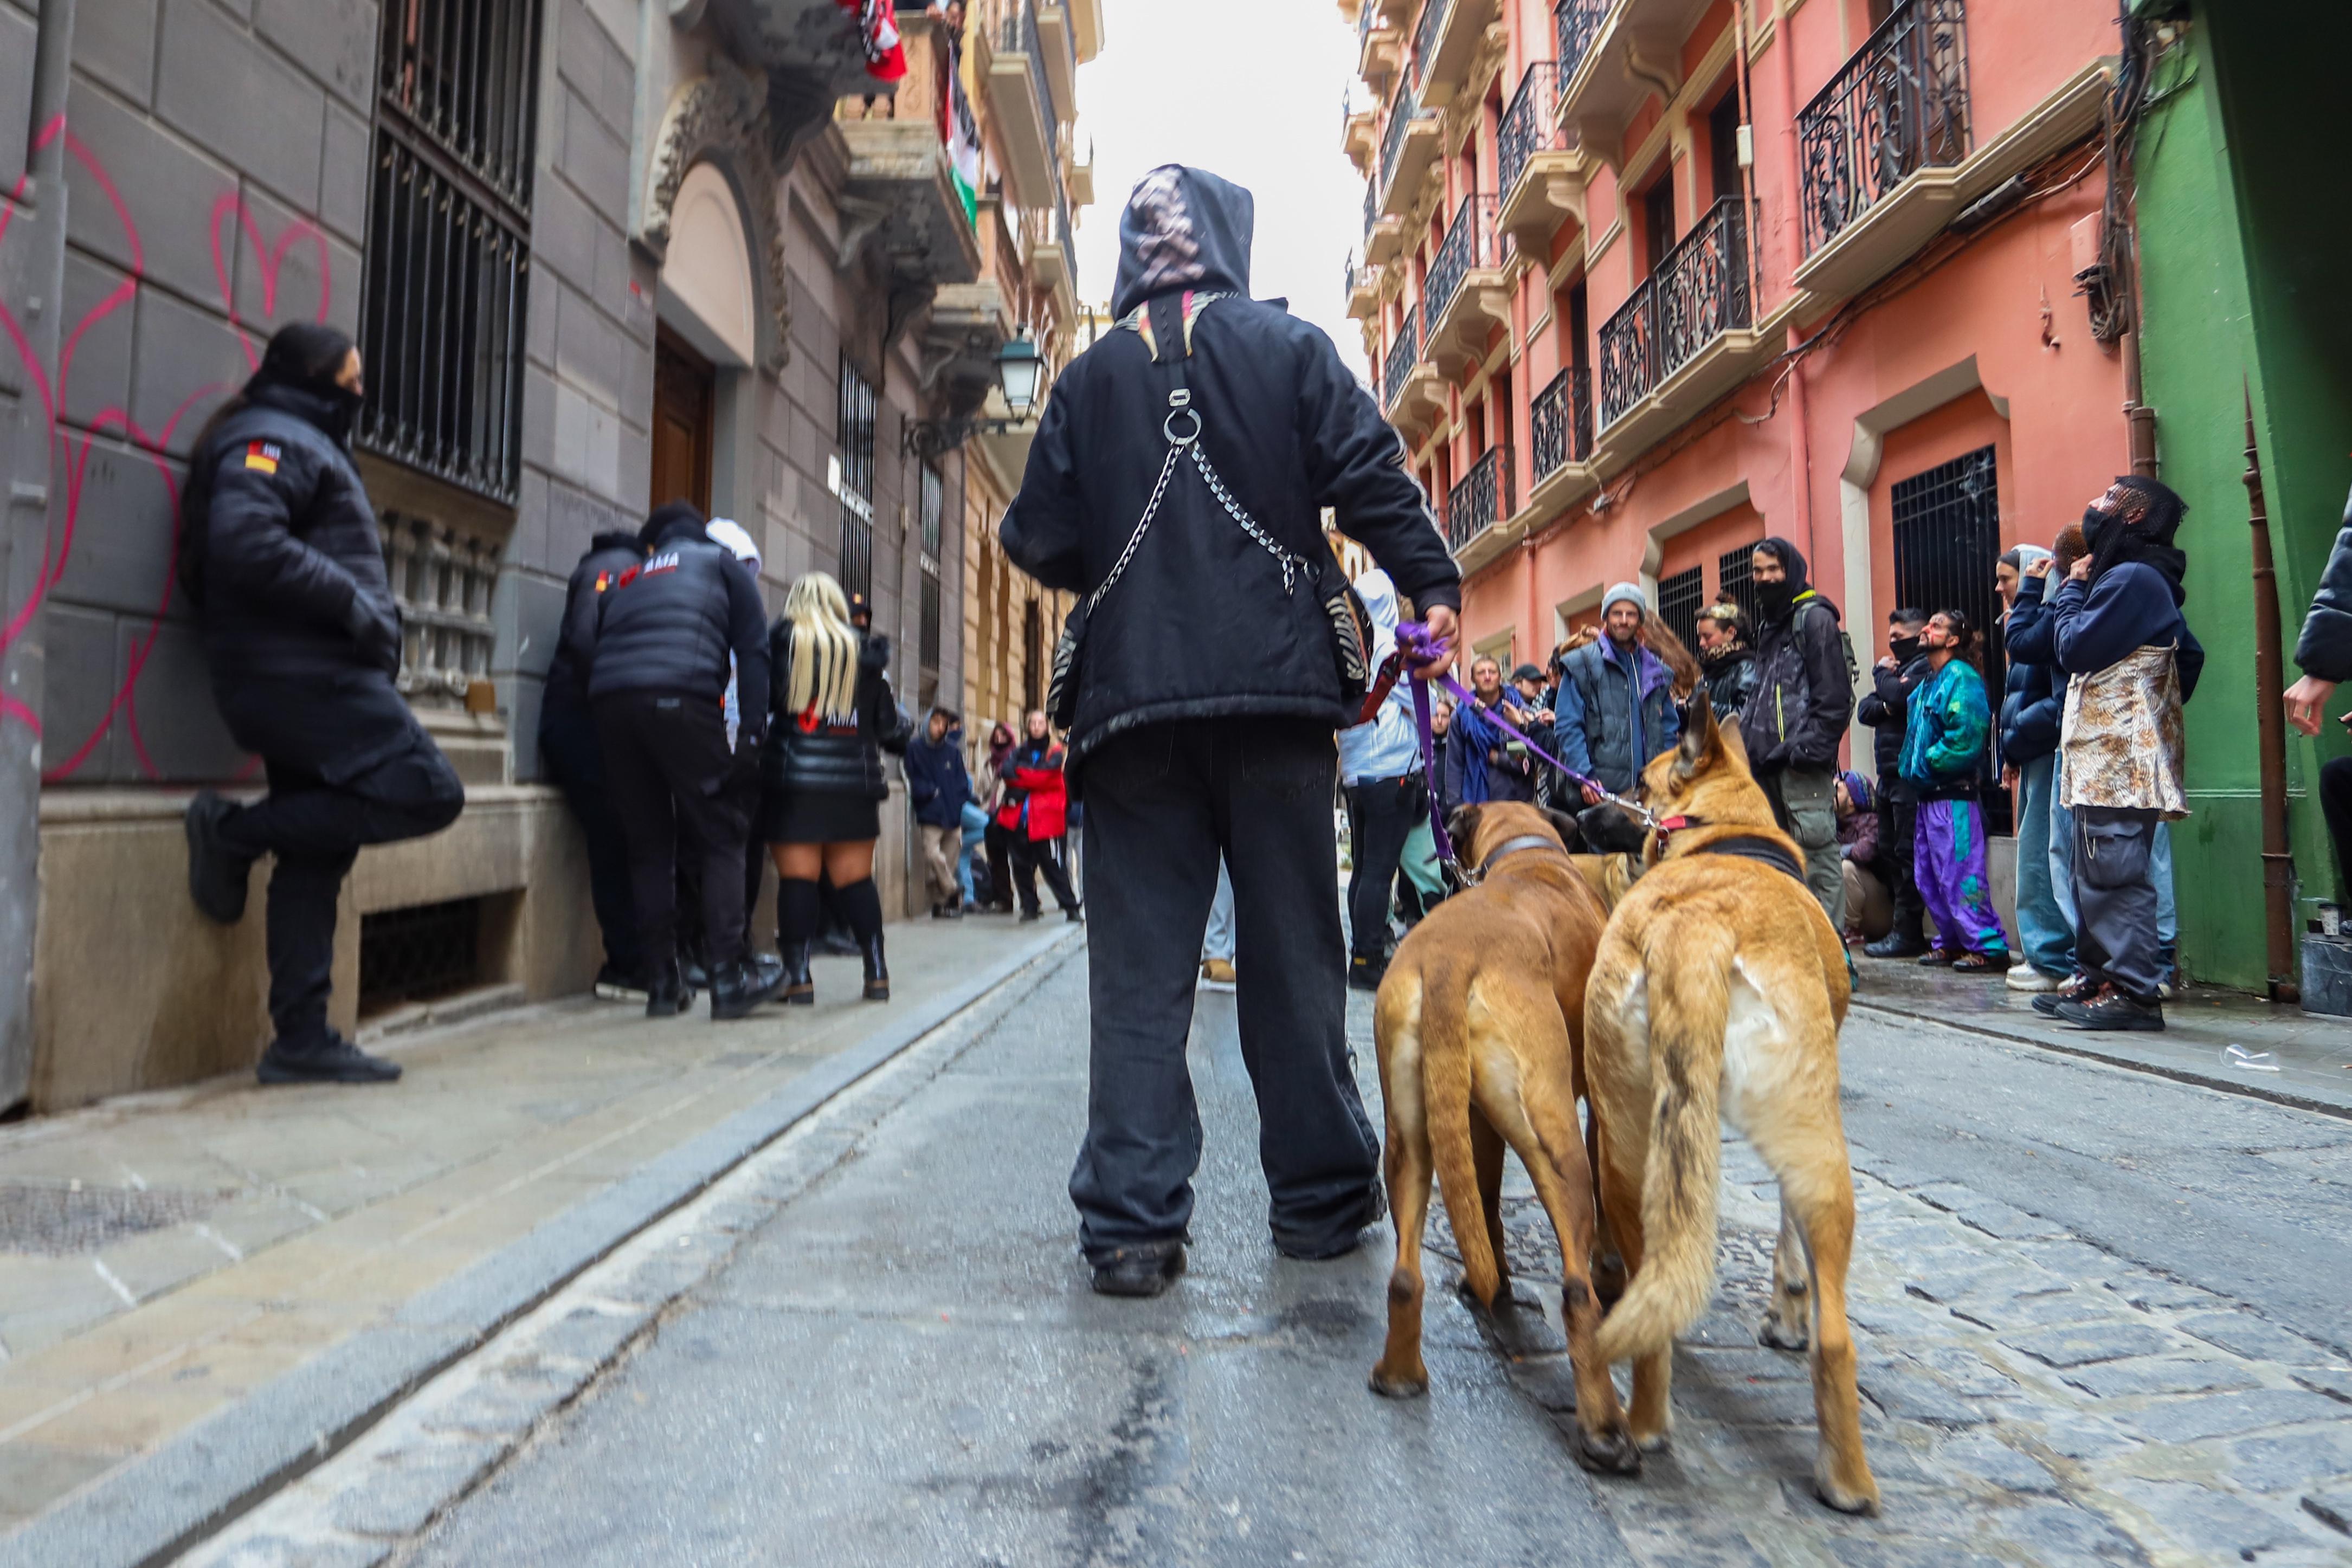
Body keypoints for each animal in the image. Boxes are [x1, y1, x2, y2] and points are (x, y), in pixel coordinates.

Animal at [1364, 804, 1636, 1476]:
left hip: (1410, 1137)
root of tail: (1448, 960)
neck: (1526, 851)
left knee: (1406, 1272)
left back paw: (1400, 1373)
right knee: (1575, 1290)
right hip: (1557, 1142)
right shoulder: (1595, 1108)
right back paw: (1604, 1430)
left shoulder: (1476, 1123)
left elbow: (1484, 1204)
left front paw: (1490, 1277)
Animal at [1571, 705, 1881, 1514]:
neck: (1722, 828)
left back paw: (1649, 1424)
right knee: (1835, 1335)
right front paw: (1786, 1308)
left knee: (1655, 1288)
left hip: (1628, 1143)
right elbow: (1788, 1242)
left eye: (1636, 782)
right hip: (1818, 1151)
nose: (1578, 811)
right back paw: (1845, 1479)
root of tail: (1696, 927)